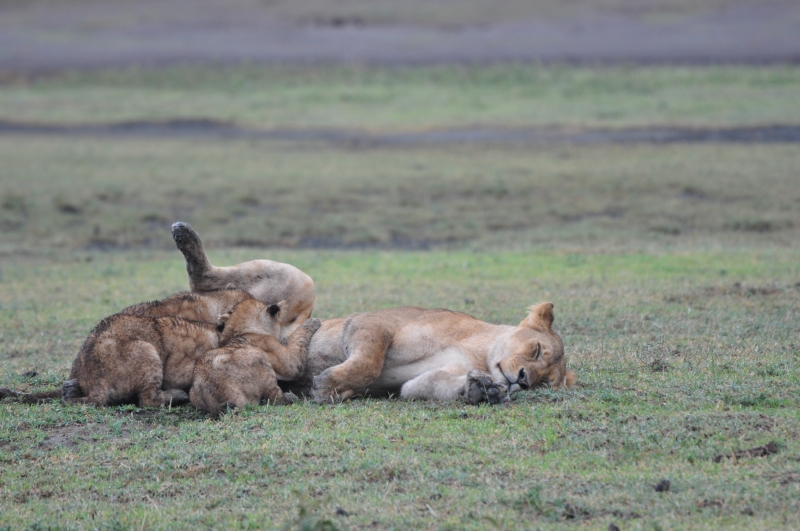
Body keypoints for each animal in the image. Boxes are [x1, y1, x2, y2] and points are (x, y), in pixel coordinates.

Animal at [280, 302, 576, 405]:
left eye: (544, 383)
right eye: (536, 351)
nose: (524, 380)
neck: (479, 353)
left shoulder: (415, 383)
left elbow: (428, 384)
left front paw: (483, 391)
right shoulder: (370, 322)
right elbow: (368, 365)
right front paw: (326, 387)